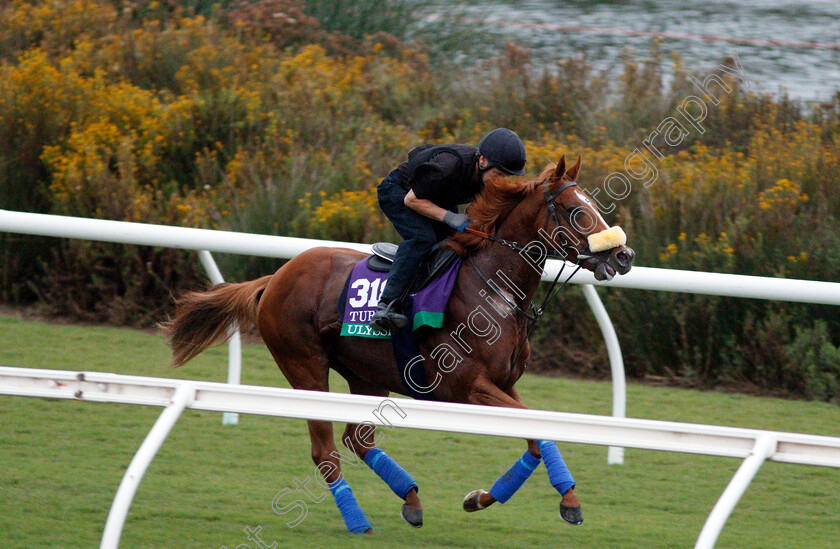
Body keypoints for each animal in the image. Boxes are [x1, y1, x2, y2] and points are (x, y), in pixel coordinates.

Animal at [162, 156, 632, 532]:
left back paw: (411, 498)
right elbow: (536, 428)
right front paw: (566, 501)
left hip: (366, 374)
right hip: (305, 368)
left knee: (357, 439)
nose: (623, 256)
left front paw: (485, 498)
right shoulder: (466, 388)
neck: (494, 290)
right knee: (326, 451)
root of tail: (276, 276)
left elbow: (537, 436)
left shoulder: (504, 383)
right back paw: (359, 521)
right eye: (574, 211)